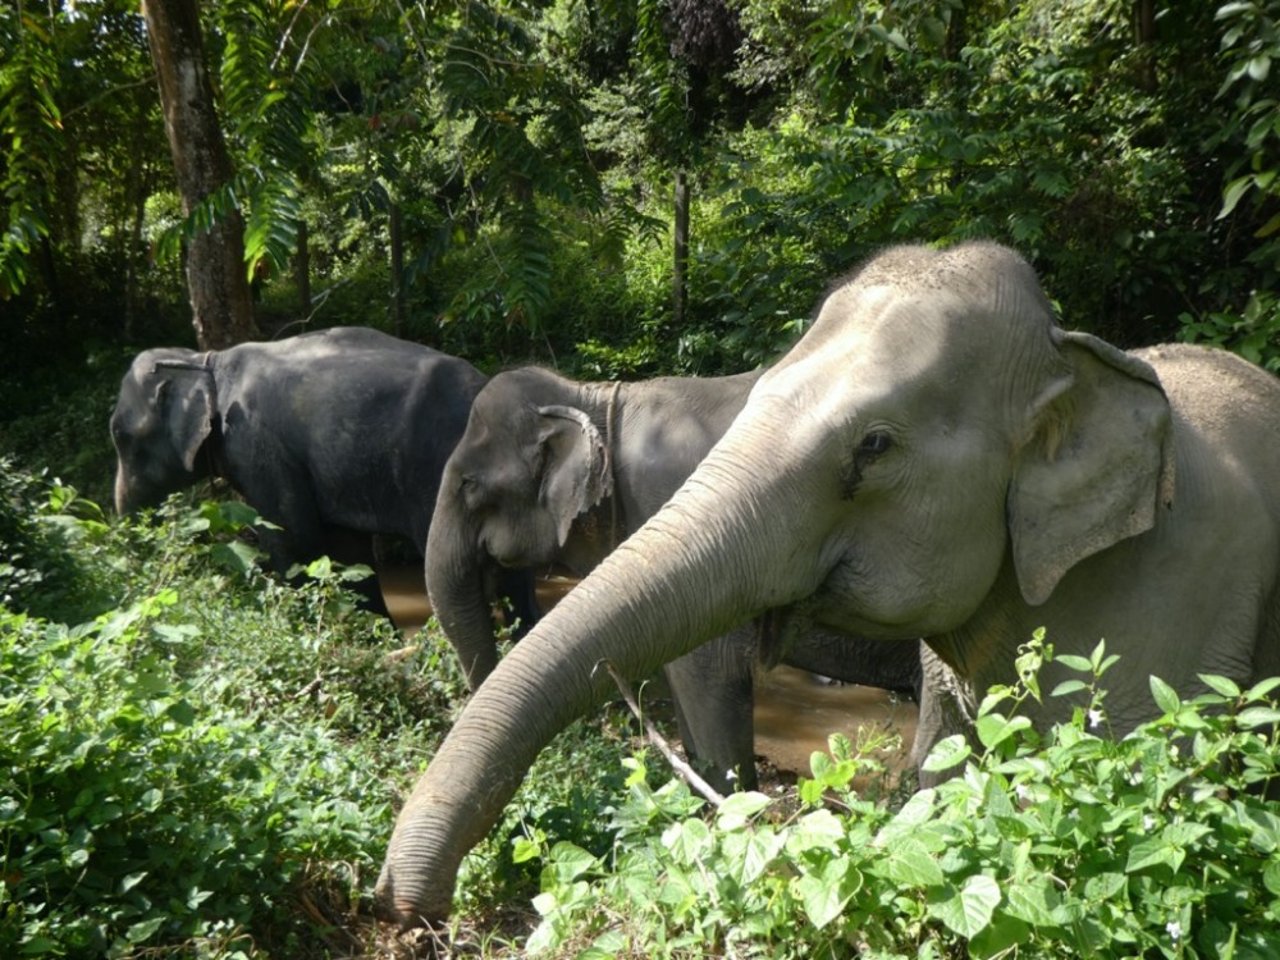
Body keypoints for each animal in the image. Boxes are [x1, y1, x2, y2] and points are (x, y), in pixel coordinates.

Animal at [104, 325, 535, 624]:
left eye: (120, 435)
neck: (205, 359)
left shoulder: (257, 444)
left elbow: (296, 540)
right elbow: (348, 552)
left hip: (437, 466)